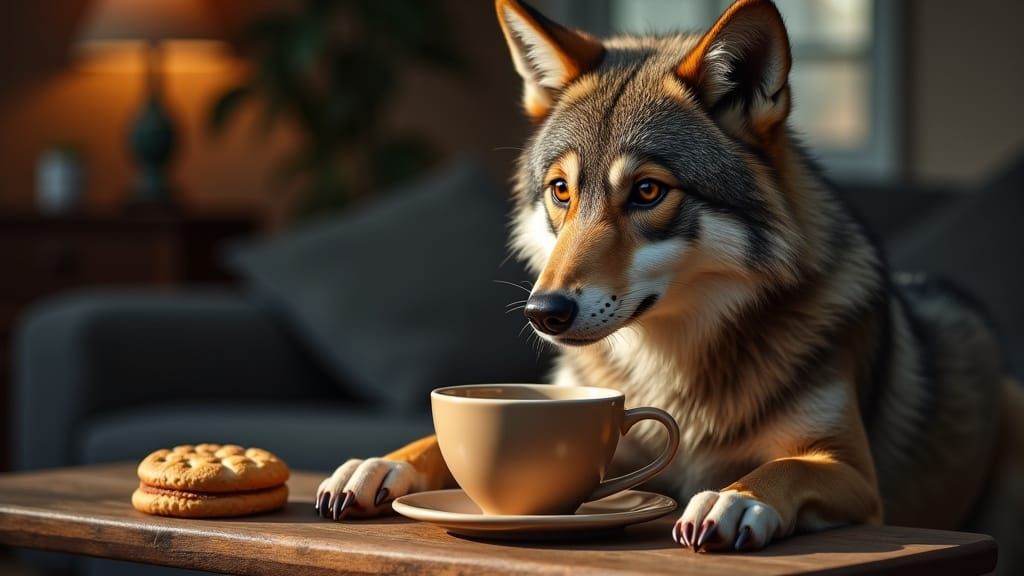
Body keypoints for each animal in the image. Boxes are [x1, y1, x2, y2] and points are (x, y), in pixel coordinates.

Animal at [316, 0, 1024, 568]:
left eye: (649, 192)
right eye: (561, 191)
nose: (545, 311)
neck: (675, 366)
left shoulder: (854, 475)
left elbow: (780, 466)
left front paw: (735, 501)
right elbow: (440, 440)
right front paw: (384, 462)